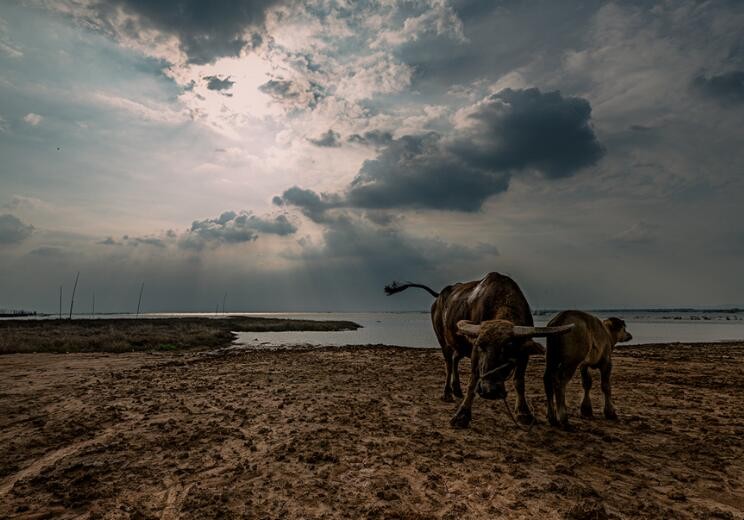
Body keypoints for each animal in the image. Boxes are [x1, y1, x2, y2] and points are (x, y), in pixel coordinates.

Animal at [386, 272, 572, 426]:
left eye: (508, 348)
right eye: (481, 346)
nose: (490, 391)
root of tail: (440, 296)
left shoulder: (523, 354)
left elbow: (519, 381)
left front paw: (524, 413)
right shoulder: (475, 352)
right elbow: (473, 380)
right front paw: (462, 415)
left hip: (459, 345)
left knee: (455, 359)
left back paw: (457, 390)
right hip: (442, 340)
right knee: (448, 364)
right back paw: (447, 393)